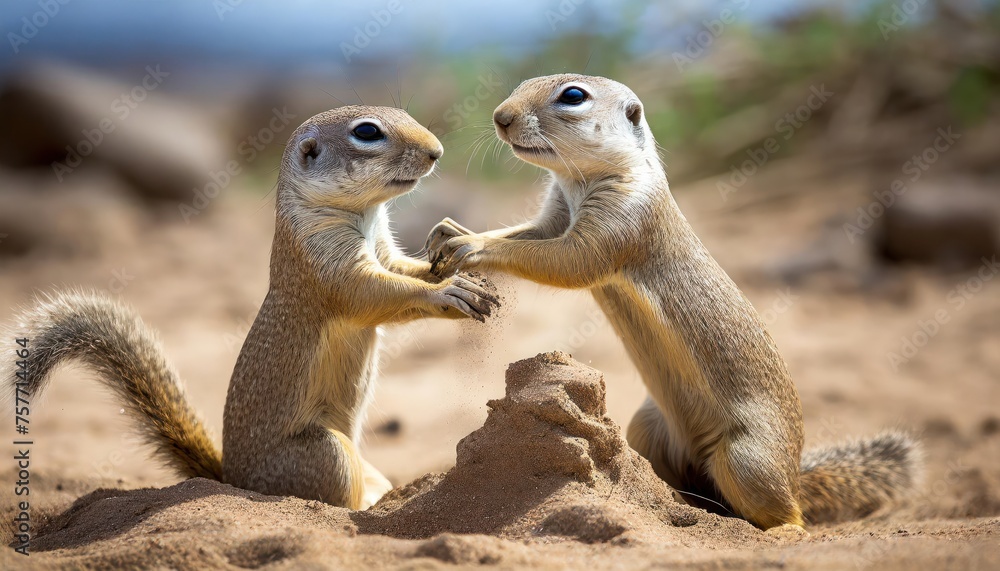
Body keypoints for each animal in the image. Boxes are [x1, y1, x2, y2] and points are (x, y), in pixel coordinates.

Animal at [6, 106, 499, 510]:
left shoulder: (383, 250)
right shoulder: (329, 267)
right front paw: (448, 294)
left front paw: (452, 246)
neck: (365, 213)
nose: (436, 152)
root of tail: (231, 477)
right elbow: (376, 295)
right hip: (328, 453)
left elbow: (405, 270)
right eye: (367, 132)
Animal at [426, 74, 921, 530]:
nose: (500, 117)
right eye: (521, 84)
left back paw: (782, 528)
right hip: (646, 429)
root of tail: (795, 474)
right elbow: (529, 234)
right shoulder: (554, 216)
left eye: (573, 96)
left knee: (789, 513)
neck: (577, 182)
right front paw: (451, 231)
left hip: (746, 460)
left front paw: (471, 245)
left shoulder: (620, 220)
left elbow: (568, 261)